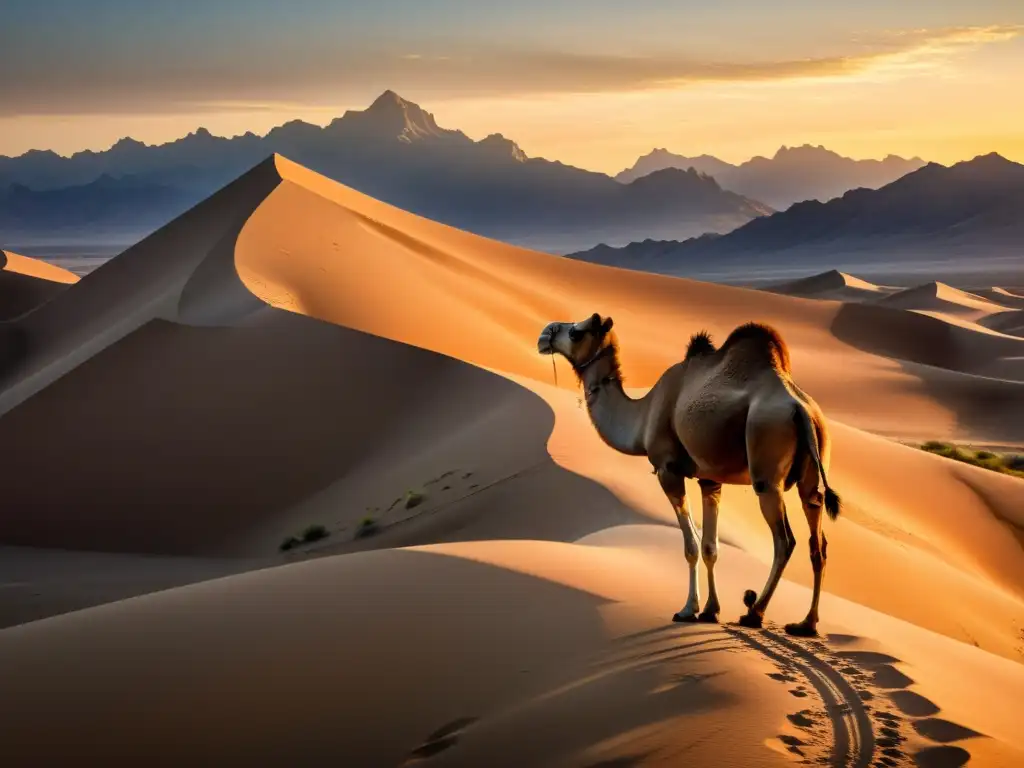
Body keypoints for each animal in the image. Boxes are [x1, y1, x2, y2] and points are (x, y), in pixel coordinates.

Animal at [536, 313, 839, 638]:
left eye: (577, 332)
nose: (544, 335)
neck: (644, 415)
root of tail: (802, 410)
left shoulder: (667, 468)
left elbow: (691, 546)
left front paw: (687, 610)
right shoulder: (710, 479)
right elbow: (710, 546)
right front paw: (710, 610)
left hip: (766, 468)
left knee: (785, 541)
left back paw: (754, 613)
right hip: (813, 469)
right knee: (817, 539)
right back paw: (806, 623)